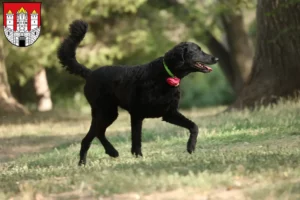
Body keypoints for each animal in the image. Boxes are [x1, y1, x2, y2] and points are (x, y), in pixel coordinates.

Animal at [57, 19, 219, 166]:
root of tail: (90, 73)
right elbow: (136, 140)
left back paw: (105, 154)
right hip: (106, 112)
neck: (164, 75)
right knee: (92, 136)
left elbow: (194, 126)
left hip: (106, 113)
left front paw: (191, 147)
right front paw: (138, 157)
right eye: (196, 50)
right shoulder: (137, 114)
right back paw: (90, 160)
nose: (216, 58)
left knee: (97, 133)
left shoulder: (169, 113)